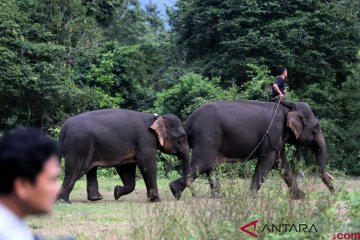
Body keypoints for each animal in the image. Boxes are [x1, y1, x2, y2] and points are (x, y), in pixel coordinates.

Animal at [56, 109, 191, 202]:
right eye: (182, 137)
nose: (176, 194)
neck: (156, 118)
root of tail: (63, 129)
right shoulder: (145, 140)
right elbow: (146, 164)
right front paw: (156, 200)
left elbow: (126, 169)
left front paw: (116, 192)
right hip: (78, 146)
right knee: (73, 172)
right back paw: (63, 201)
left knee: (90, 170)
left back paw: (96, 199)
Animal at [169, 100, 334, 200]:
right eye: (316, 128)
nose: (334, 193)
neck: (287, 108)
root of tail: (187, 122)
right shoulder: (273, 133)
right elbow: (267, 161)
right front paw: (252, 196)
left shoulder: (278, 138)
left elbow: (281, 163)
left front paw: (301, 196)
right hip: (207, 135)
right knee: (203, 164)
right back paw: (174, 191)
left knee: (209, 166)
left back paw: (217, 196)